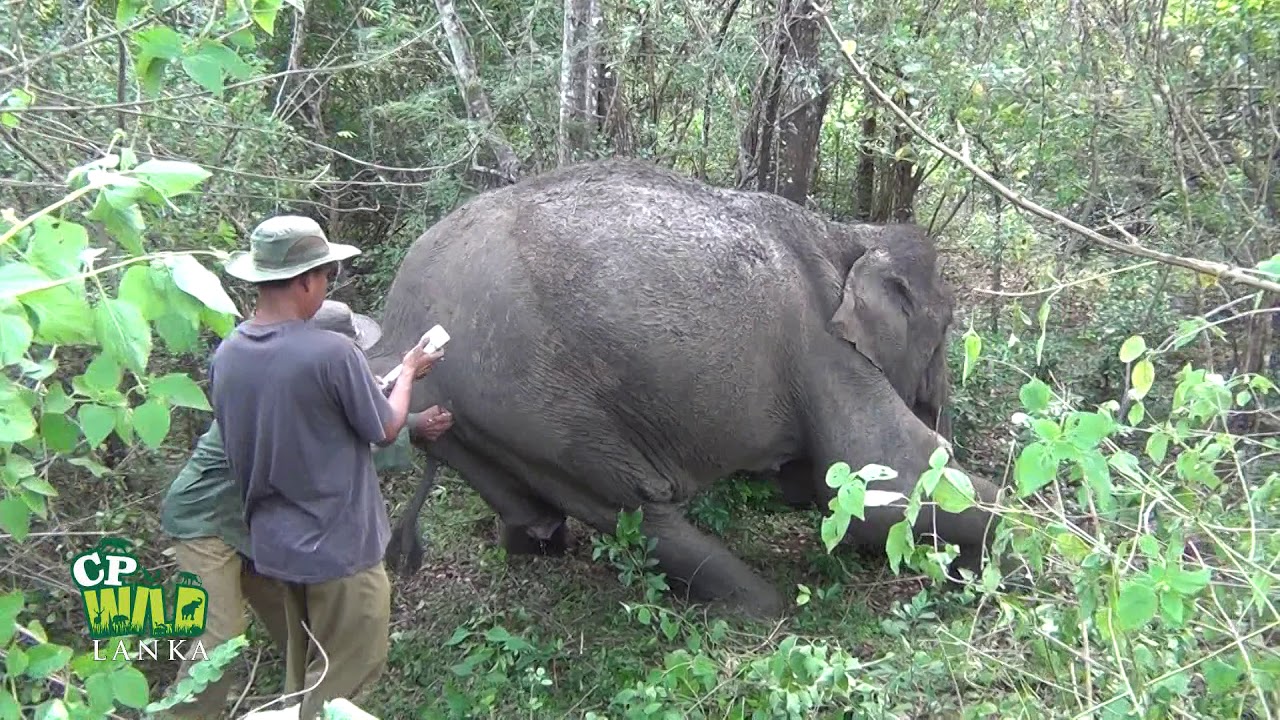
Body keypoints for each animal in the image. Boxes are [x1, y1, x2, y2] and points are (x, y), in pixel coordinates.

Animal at [363, 159, 1001, 617]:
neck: (848, 233)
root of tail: (395, 337)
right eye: (946, 326)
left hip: (479, 424)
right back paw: (762, 609)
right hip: (540, 405)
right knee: (639, 508)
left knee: (539, 510)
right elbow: (880, 486)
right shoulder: (822, 348)